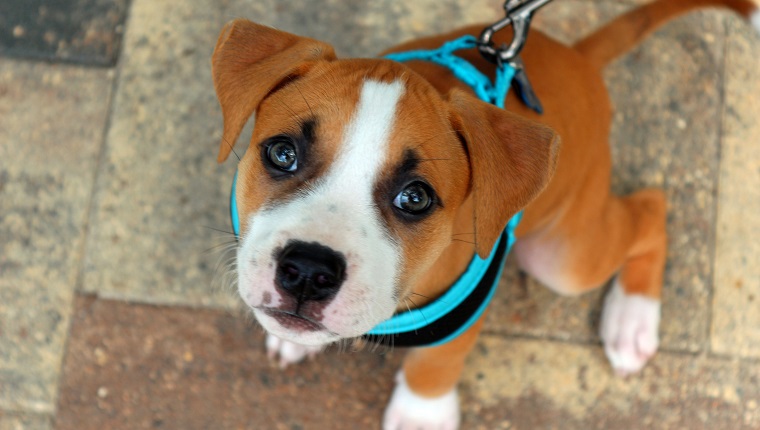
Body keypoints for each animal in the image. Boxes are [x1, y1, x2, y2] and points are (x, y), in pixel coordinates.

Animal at [209, 1, 760, 428]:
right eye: (282, 153)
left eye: (415, 198)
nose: (307, 271)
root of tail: (578, 57)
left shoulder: (465, 312)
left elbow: (436, 364)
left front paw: (421, 415)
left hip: (563, 257)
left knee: (651, 207)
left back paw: (632, 317)